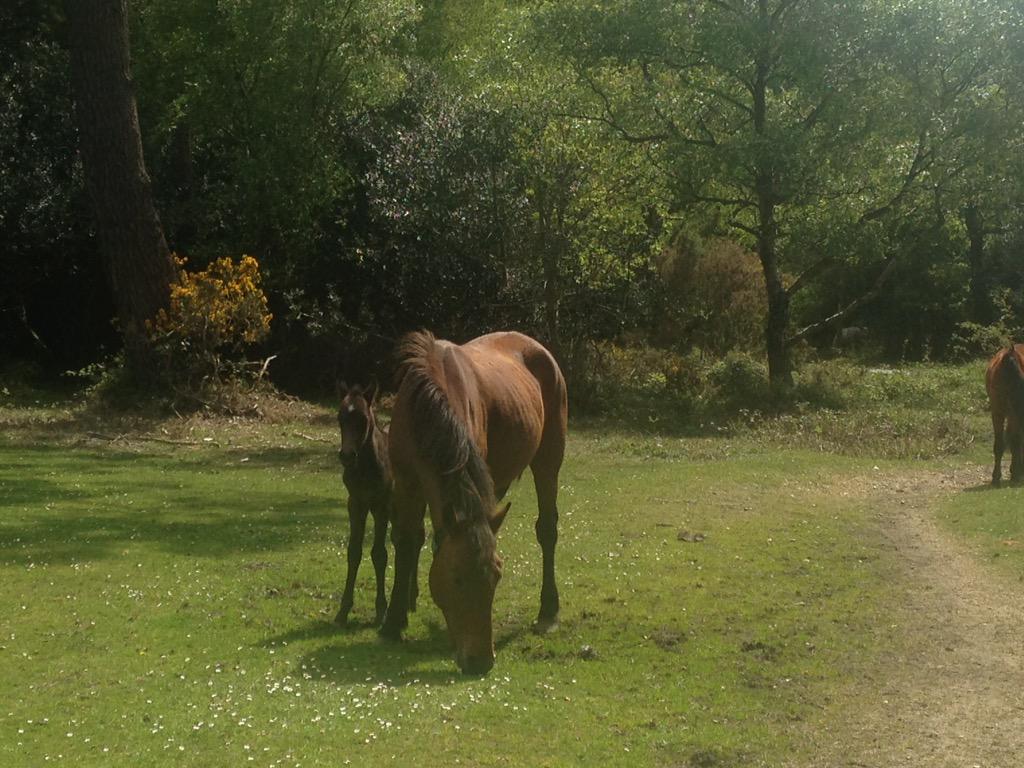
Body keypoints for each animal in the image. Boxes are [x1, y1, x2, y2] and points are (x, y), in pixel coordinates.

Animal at [379, 331, 567, 675]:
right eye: (456, 578)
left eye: (497, 576)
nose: (481, 661)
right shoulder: (407, 483)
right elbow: (407, 541)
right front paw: (394, 620)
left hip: (548, 460)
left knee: (547, 529)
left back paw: (548, 611)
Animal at [985, 344, 1024, 486]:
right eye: (1012, 366)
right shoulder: (997, 413)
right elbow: (999, 444)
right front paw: (995, 477)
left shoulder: (1015, 414)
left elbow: (1015, 441)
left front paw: (1016, 475)